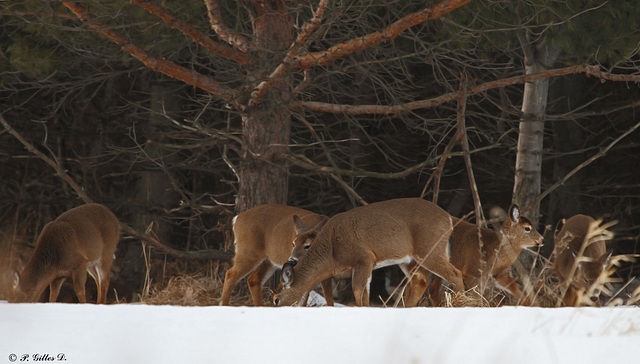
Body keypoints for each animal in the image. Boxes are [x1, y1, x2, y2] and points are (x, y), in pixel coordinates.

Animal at [272, 199, 464, 308]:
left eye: (276, 300)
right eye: (293, 243)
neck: (331, 254)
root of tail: (448, 219)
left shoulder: (364, 258)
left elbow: (358, 291)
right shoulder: (366, 265)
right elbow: (364, 292)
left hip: (430, 248)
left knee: (455, 273)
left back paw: (462, 304)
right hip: (407, 259)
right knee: (421, 281)